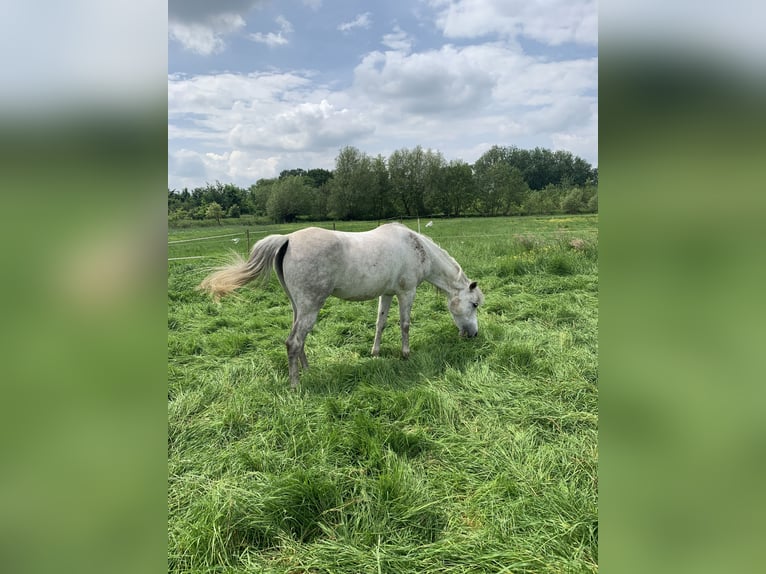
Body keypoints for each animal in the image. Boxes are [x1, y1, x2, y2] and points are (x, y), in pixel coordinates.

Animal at [198, 222, 484, 389]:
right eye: (474, 304)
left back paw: (307, 370)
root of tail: (287, 239)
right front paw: (405, 354)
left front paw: (375, 352)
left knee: (298, 339)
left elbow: (380, 323)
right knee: (293, 342)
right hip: (311, 306)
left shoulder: (387, 294)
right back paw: (295, 386)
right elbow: (404, 324)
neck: (415, 246)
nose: (473, 334)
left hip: (298, 307)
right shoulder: (407, 292)